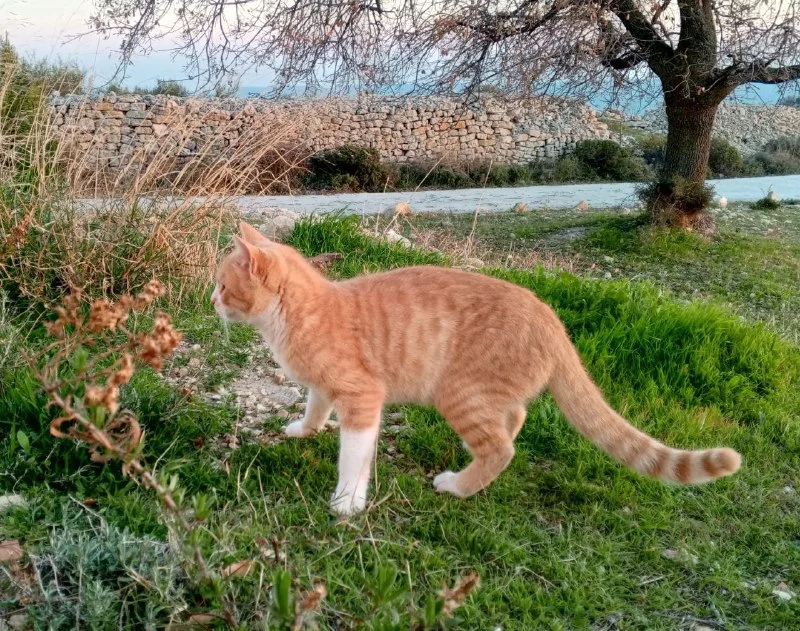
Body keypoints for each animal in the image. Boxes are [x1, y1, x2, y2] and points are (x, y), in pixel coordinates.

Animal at [211, 222, 741, 516]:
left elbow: (353, 458)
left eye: (222, 284)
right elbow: (316, 407)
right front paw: (303, 430)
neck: (299, 314)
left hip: (459, 393)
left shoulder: (363, 398)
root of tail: (551, 318)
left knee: (501, 448)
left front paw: (346, 503)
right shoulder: (327, 388)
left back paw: (459, 485)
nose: (210, 300)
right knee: (515, 417)